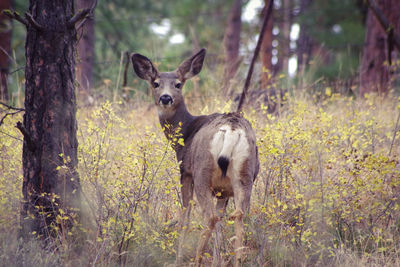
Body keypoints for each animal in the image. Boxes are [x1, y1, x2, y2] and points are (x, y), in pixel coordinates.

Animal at [130, 48, 260, 267]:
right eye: (155, 83)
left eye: (178, 84)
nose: (165, 98)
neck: (185, 134)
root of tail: (232, 129)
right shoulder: (223, 191)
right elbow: (221, 222)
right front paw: (217, 260)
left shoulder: (185, 172)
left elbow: (185, 217)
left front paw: (178, 258)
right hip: (245, 174)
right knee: (239, 215)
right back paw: (238, 260)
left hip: (202, 173)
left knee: (209, 218)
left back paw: (196, 260)